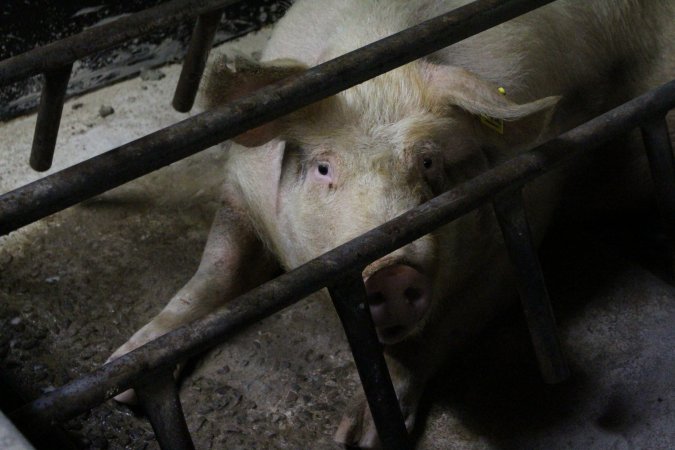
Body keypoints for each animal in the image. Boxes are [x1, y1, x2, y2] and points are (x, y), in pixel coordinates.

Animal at [108, 0, 672, 446]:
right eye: (324, 168)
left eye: (428, 163)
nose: (393, 273)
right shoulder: (241, 190)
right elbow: (215, 270)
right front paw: (121, 377)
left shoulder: (527, 213)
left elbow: (441, 328)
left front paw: (354, 437)